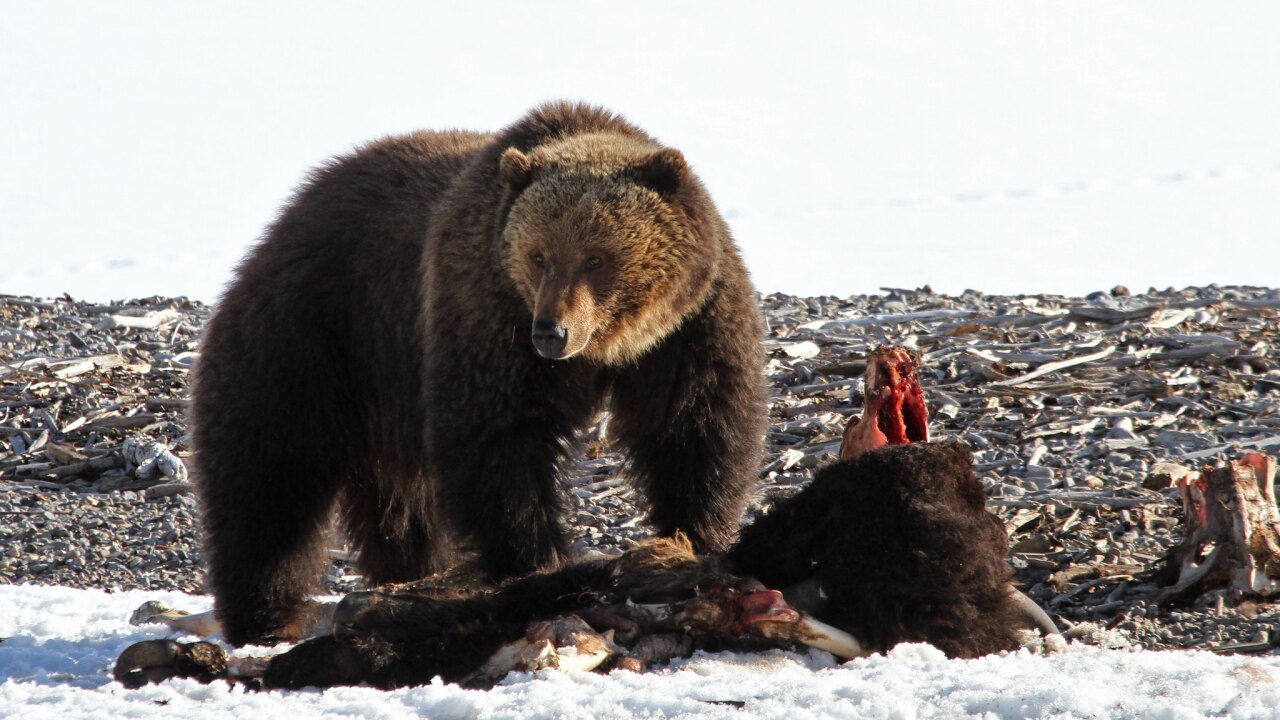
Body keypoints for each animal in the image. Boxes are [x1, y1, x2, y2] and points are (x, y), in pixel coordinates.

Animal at [190, 102, 768, 647]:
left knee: (401, 505)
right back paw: (265, 616)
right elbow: (498, 439)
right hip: (318, 331)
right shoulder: (487, 313)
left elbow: (695, 427)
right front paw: (536, 561)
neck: (611, 347)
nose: (552, 332)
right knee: (270, 475)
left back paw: (408, 572)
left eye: (596, 258)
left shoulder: (690, 327)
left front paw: (689, 540)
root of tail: (292, 209)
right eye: (539, 256)